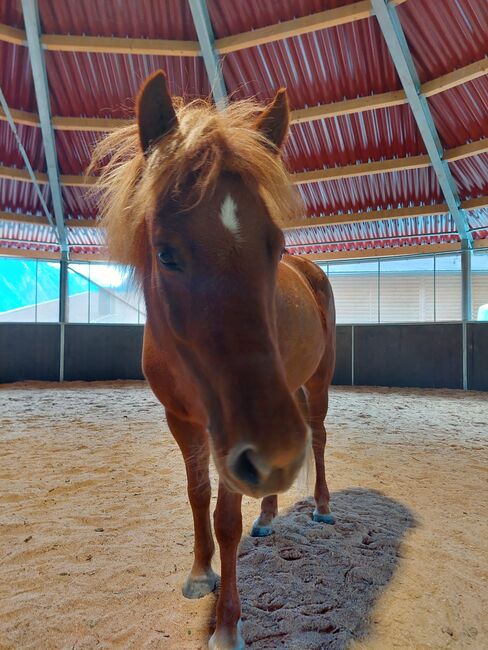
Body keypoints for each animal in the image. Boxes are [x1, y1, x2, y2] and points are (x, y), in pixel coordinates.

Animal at [90, 68, 336, 644]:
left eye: (275, 245)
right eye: (164, 252)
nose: (274, 454)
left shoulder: (233, 433)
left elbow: (227, 520)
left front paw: (227, 625)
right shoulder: (184, 420)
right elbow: (197, 494)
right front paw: (201, 573)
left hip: (316, 384)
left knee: (317, 436)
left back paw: (320, 506)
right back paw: (268, 515)